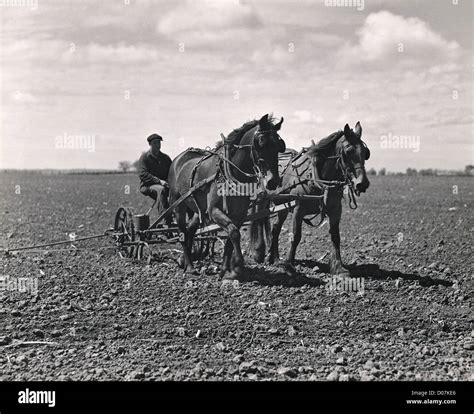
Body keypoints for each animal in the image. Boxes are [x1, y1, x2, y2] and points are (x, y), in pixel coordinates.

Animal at [167, 115, 286, 280]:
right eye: (261, 143)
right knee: (183, 234)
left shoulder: (239, 214)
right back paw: (190, 267)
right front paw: (237, 268)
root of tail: (178, 159)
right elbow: (234, 233)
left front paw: (225, 270)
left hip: (198, 210)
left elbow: (231, 238)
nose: (273, 181)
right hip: (178, 205)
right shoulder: (214, 211)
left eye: (279, 145)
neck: (230, 172)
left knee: (190, 230)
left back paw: (184, 261)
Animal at [248, 120, 370, 274]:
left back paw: (273, 257)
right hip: (263, 201)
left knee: (275, 229)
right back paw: (260, 252)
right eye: (348, 152)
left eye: (366, 153)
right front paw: (290, 264)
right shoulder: (298, 208)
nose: (362, 183)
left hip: (282, 206)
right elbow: (295, 236)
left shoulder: (336, 209)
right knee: (260, 222)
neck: (318, 179)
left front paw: (338, 266)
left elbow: (335, 236)